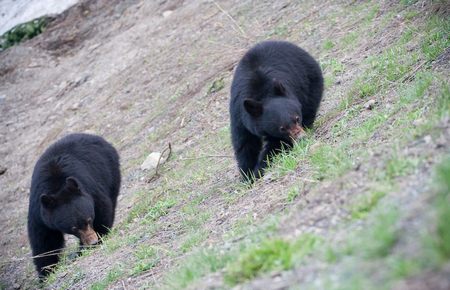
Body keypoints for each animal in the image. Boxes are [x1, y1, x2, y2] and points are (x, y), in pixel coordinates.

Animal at [27, 133, 120, 278]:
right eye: (74, 228)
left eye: (89, 220)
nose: (93, 241)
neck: (57, 186)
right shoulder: (39, 212)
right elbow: (44, 241)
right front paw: (46, 272)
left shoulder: (90, 189)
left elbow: (102, 212)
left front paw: (91, 244)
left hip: (110, 171)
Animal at [230, 40, 322, 180]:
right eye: (282, 128)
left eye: (297, 118)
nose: (301, 137)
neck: (261, 93)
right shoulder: (239, 115)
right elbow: (245, 143)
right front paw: (247, 175)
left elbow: (277, 144)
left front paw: (259, 169)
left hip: (310, 80)